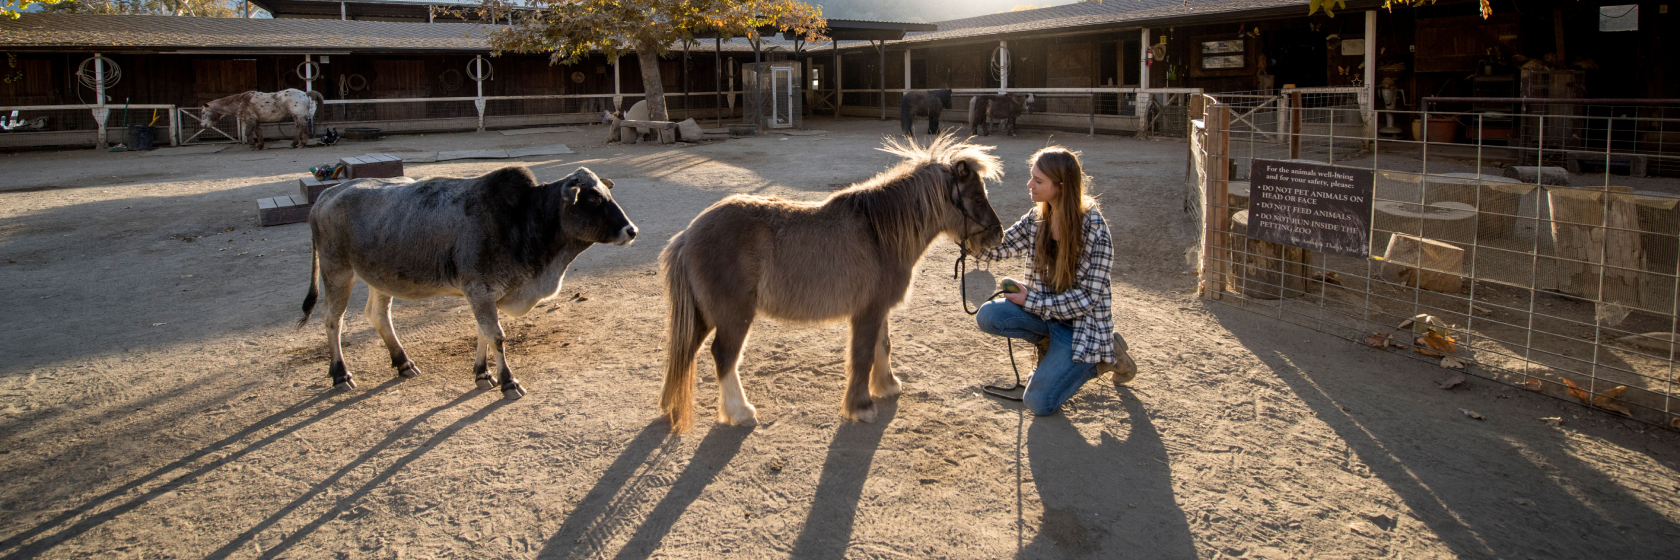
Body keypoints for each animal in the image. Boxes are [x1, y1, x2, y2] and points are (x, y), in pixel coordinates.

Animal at [295, 165, 635, 396]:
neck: (523, 218)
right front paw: (509, 381)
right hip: (337, 271)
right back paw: (340, 374)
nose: (631, 230)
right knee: (332, 317)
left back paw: (403, 362)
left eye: (607, 194)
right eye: (593, 199)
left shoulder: (484, 295)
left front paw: (482, 374)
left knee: (378, 315)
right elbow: (496, 336)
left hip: (380, 277)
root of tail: (326, 194)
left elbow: (482, 333)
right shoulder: (480, 291)